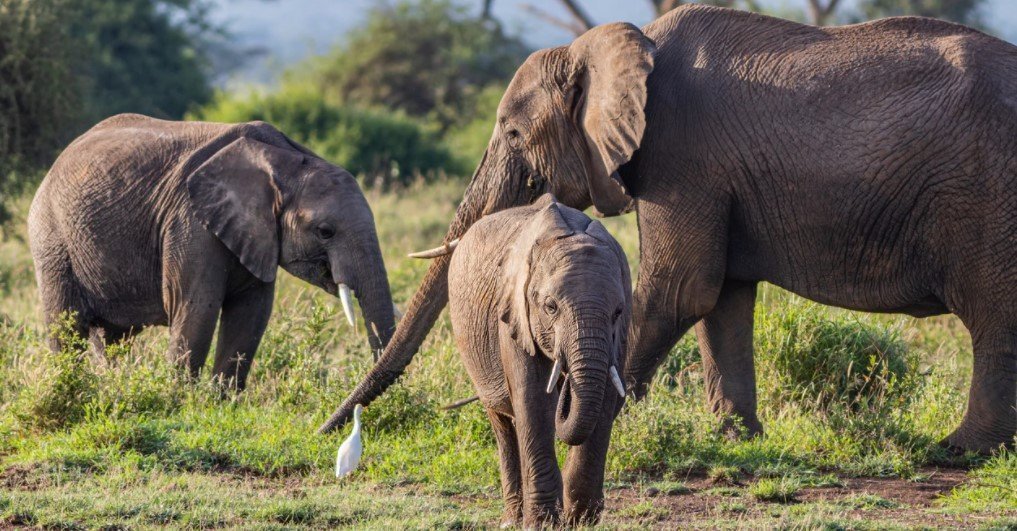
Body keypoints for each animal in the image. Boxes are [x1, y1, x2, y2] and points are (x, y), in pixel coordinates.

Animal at [29, 113, 395, 389]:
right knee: (65, 328)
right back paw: (69, 387)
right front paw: (179, 404)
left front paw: (221, 403)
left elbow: (251, 314)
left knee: (113, 338)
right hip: (52, 239)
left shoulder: (256, 236)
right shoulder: (190, 223)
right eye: (325, 232)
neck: (285, 161)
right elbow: (197, 310)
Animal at [319, 5, 1017, 454]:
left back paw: (957, 452)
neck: (613, 45)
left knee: (992, 316)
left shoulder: (684, 154)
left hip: (989, 197)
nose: (326, 430)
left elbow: (679, 289)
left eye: (512, 133)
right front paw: (736, 440)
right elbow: (721, 297)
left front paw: (597, 425)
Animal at [448, 194, 630, 526]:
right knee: (503, 424)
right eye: (550, 306)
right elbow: (532, 399)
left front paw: (581, 518)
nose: (566, 386)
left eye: (618, 311)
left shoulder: (621, 332)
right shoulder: (513, 313)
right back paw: (512, 519)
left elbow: (607, 396)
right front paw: (543, 523)